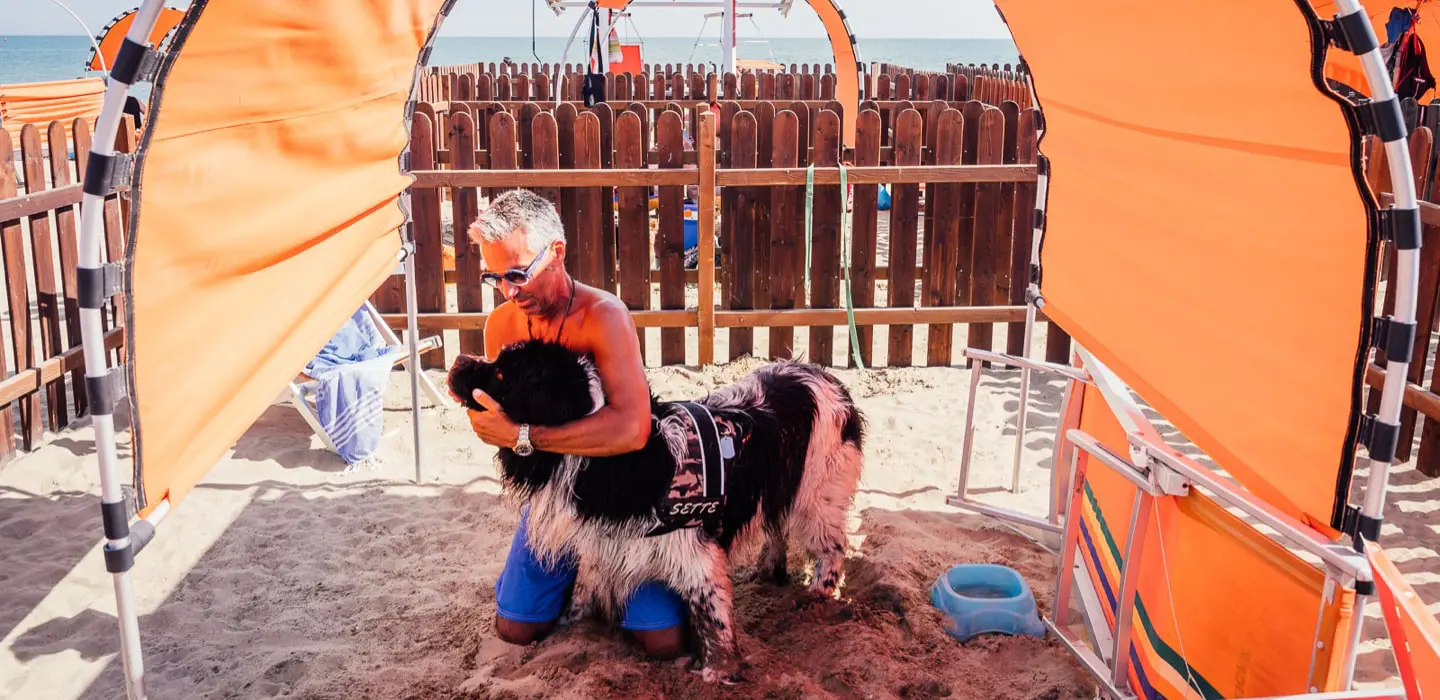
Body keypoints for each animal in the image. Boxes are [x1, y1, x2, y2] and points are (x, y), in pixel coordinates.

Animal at [443, 339, 858, 682]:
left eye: (501, 373)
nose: (458, 359)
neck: (614, 462)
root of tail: (826, 377)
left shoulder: (695, 554)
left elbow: (712, 614)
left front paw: (720, 672)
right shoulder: (604, 543)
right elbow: (582, 593)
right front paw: (566, 627)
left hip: (815, 495)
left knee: (832, 546)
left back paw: (816, 595)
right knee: (776, 525)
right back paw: (769, 568)